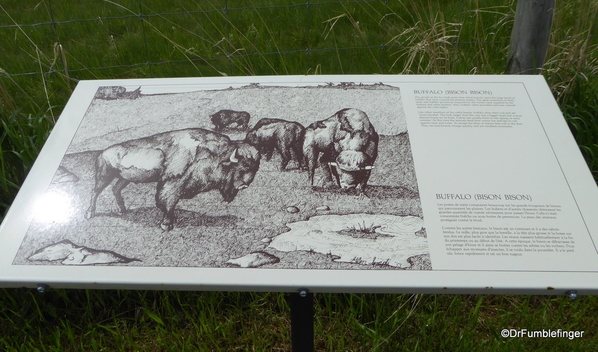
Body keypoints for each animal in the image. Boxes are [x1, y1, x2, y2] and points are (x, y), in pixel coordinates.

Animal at [84, 129, 260, 231]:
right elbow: (168, 202)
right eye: (242, 167)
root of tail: (102, 153)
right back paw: (89, 214)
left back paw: (123, 210)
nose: (244, 185)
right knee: (95, 192)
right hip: (104, 176)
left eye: (255, 169)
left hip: (123, 179)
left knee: (115, 190)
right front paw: (166, 225)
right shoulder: (172, 183)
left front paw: (171, 221)